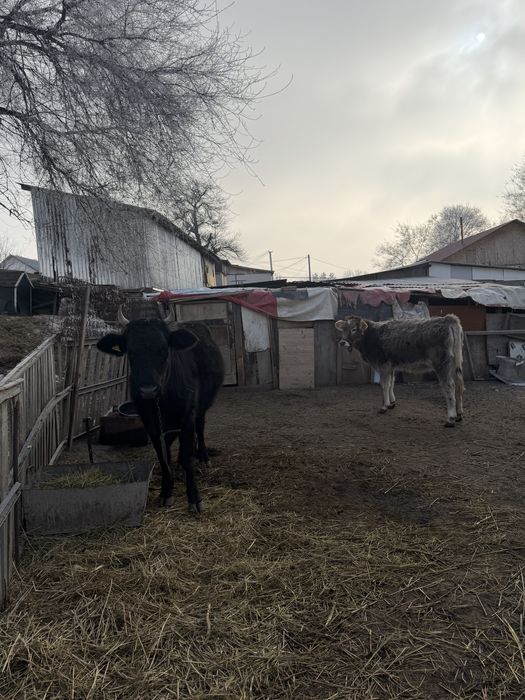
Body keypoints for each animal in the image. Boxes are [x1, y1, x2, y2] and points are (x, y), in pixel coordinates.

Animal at [96, 307, 224, 512]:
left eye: (164, 350)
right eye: (131, 352)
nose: (148, 390)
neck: (162, 400)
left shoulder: (187, 415)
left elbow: (186, 457)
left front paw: (194, 498)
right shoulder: (150, 422)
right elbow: (163, 456)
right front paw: (166, 491)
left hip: (202, 407)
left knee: (200, 429)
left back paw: (203, 457)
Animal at [334, 314, 464, 427]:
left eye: (354, 329)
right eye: (343, 329)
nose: (342, 342)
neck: (372, 335)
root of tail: (448, 318)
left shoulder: (383, 365)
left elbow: (384, 385)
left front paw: (384, 406)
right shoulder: (391, 366)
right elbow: (391, 383)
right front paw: (392, 403)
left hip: (442, 364)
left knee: (449, 386)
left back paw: (450, 419)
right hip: (455, 363)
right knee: (458, 384)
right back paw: (459, 414)